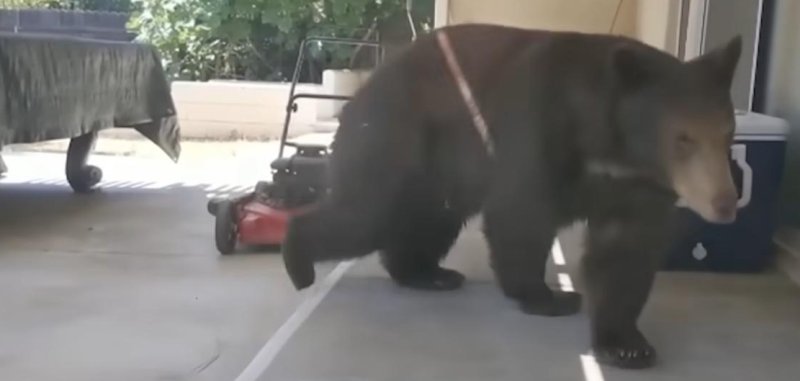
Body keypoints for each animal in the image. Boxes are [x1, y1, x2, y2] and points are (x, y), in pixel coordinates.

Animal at [282, 23, 744, 368]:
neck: (611, 146)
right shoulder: (537, 128)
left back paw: (429, 273)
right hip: (395, 135)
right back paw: (299, 260)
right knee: (365, 214)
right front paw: (550, 297)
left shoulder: (637, 185)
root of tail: (364, 88)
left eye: (727, 134)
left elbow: (626, 251)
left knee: (427, 220)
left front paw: (627, 345)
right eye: (684, 138)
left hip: (438, 173)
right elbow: (522, 214)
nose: (725, 202)